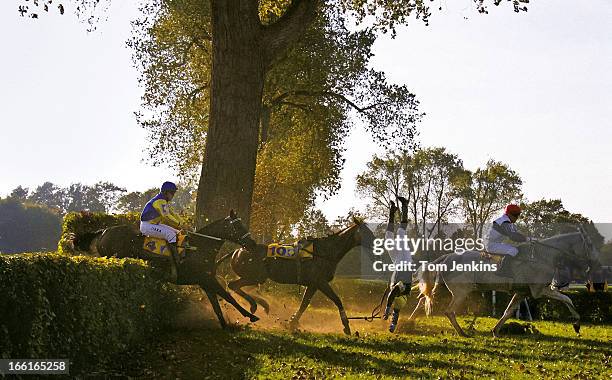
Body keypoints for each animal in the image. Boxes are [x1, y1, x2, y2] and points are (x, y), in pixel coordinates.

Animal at [70, 211, 258, 330]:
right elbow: (228, 297)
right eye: (238, 226)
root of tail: (104, 231)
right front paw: (252, 314)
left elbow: (217, 304)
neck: (199, 247)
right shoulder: (206, 279)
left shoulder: (206, 281)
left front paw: (226, 325)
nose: (253, 244)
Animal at [218, 217, 376, 336]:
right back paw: (256, 305)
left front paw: (293, 322)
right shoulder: (320, 282)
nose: (377, 242)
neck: (325, 252)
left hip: (256, 278)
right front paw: (346, 326)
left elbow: (304, 304)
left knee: (236, 286)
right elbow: (336, 300)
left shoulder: (313, 285)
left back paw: (261, 304)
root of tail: (238, 250)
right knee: (233, 285)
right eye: (366, 231)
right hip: (256, 277)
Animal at [408, 226, 600, 336]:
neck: (543, 256)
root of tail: (447, 257)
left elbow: (508, 312)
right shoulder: (540, 290)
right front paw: (577, 324)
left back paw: (408, 323)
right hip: (460, 291)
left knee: (423, 301)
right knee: (448, 311)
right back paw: (462, 332)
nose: (596, 261)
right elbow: (567, 298)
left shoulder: (521, 293)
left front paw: (495, 330)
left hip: (443, 288)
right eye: (590, 244)